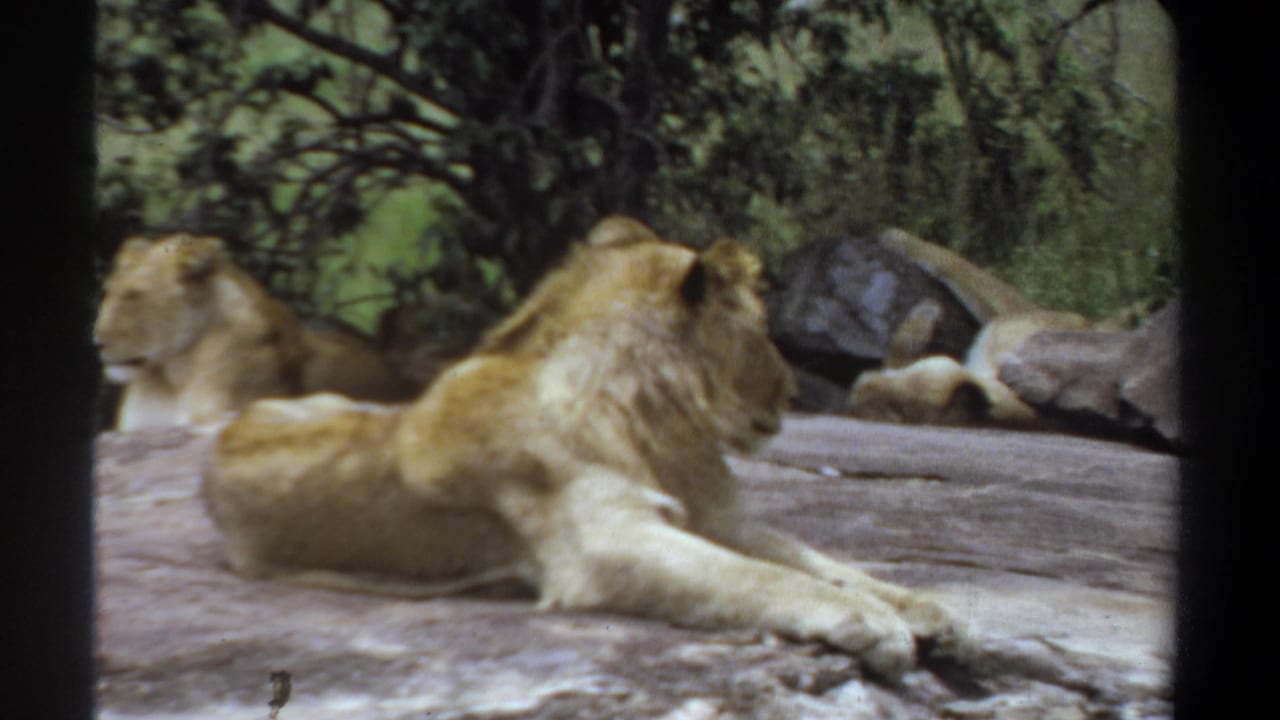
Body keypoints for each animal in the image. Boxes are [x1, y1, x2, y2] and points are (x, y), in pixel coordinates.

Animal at [202, 216, 970, 678]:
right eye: (761, 331)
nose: (790, 393)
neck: (654, 420)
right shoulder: (606, 542)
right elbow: (763, 579)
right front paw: (872, 625)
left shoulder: (719, 518)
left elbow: (821, 562)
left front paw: (925, 610)